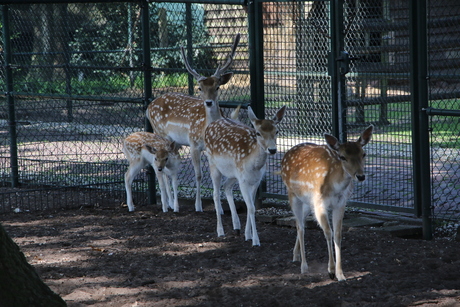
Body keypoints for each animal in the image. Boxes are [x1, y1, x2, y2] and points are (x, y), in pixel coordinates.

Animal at [146, 33, 241, 212]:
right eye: (199, 88)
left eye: (217, 87)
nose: (209, 102)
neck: (204, 130)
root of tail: (148, 107)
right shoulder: (193, 143)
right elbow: (198, 175)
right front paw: (198, 206)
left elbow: (216, 176)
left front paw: (220, 209)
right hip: (160, 132)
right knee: (162, 167)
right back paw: (170, 204)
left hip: (174, 142)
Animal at [204, 104, 284, 247]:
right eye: (258, 133)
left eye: (277, 131)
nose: (272, 150)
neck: (254, 165)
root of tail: (211, 123)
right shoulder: (243, 181)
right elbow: (251, 208)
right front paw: (256, 241)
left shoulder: (256, 180)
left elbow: (250, 206)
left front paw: (248, 235)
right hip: (213, 164)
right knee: (215, 194)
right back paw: (220, 231)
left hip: (233, 174)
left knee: (226, 186)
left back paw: (236, 227)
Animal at [280, 125, 374, 282]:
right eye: (342, 157)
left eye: (364, 154)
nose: (360, 176)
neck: (334, 186)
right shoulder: (319, 202)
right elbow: (328, 232)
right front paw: (330, 271)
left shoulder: (340, 203)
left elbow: (338, 234)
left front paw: (340, 274)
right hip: (293, 194)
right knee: (300, 227)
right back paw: (304, 266)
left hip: (307, 203)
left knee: (301, 222)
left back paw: (295, 255)